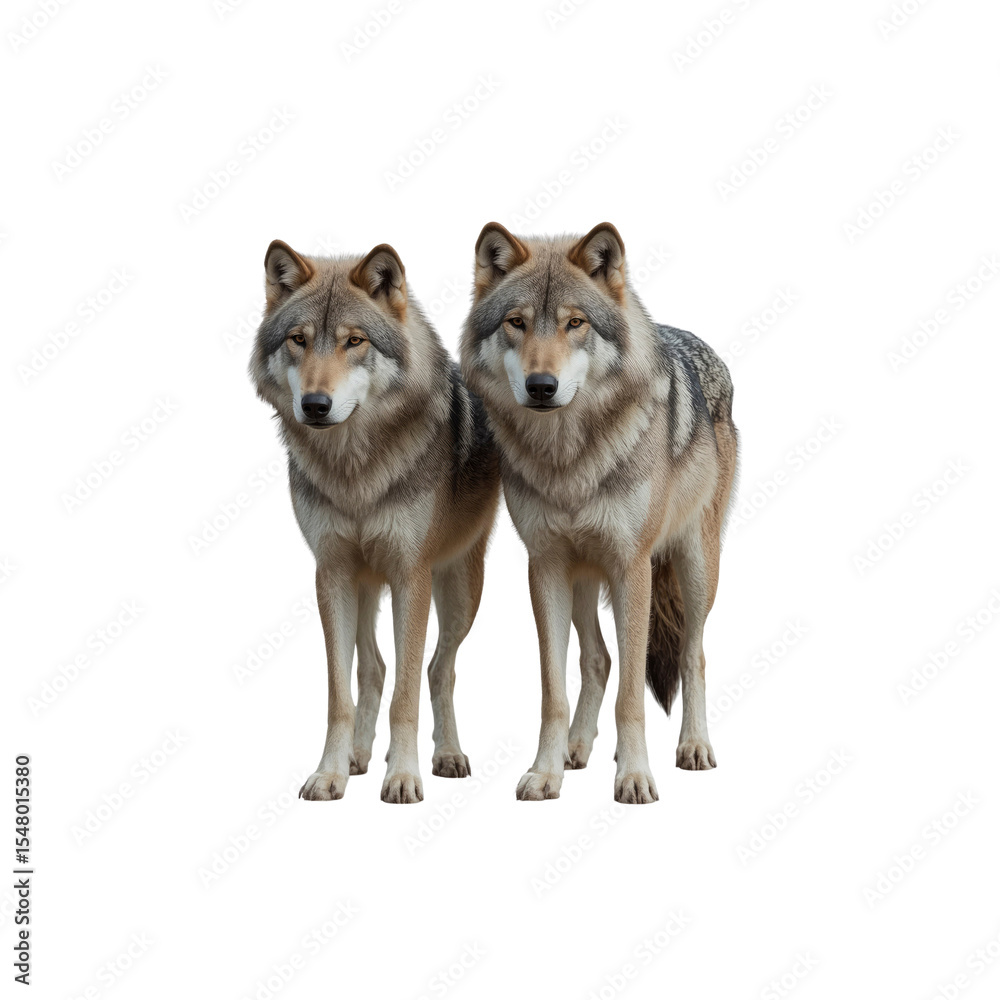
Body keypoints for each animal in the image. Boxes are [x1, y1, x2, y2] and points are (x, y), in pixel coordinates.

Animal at [251, 239, 498, 803]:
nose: (315, 405)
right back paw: (359, 757)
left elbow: (407, 691)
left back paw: (447, 755)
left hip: (460, 590)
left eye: (354, 341)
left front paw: (404, 776)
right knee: (374, 667)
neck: (355, 472)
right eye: (299, 340)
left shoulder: (411, 575)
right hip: (365, 585)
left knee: (438, 669)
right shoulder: (331, 574)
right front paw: (329, 773)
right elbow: (339, 694)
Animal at [460, 222, 738, 804]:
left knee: (693, 654)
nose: (541, 387)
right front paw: (545, 772)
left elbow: (632, 693)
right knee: (599, 658)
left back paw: (693, 747)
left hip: (696, 565)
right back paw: (577, 748)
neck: (570, 460)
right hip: (585, 573)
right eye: (516, 323)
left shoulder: (632, 566)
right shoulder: (544, 565)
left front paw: (634, 776)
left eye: (575, 323)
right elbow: (555, 688)